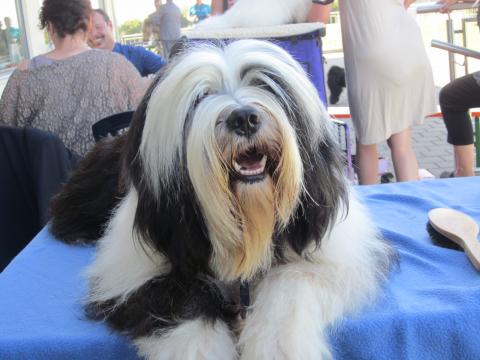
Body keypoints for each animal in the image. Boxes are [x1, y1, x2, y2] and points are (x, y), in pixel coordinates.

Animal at [50, 40, 392, 358]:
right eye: (200, 97)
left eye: (264, 84)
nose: (244, 118)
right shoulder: (129, 273)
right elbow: (178, 301)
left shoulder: (335, 258)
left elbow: (291, 282)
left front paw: (276, 347)